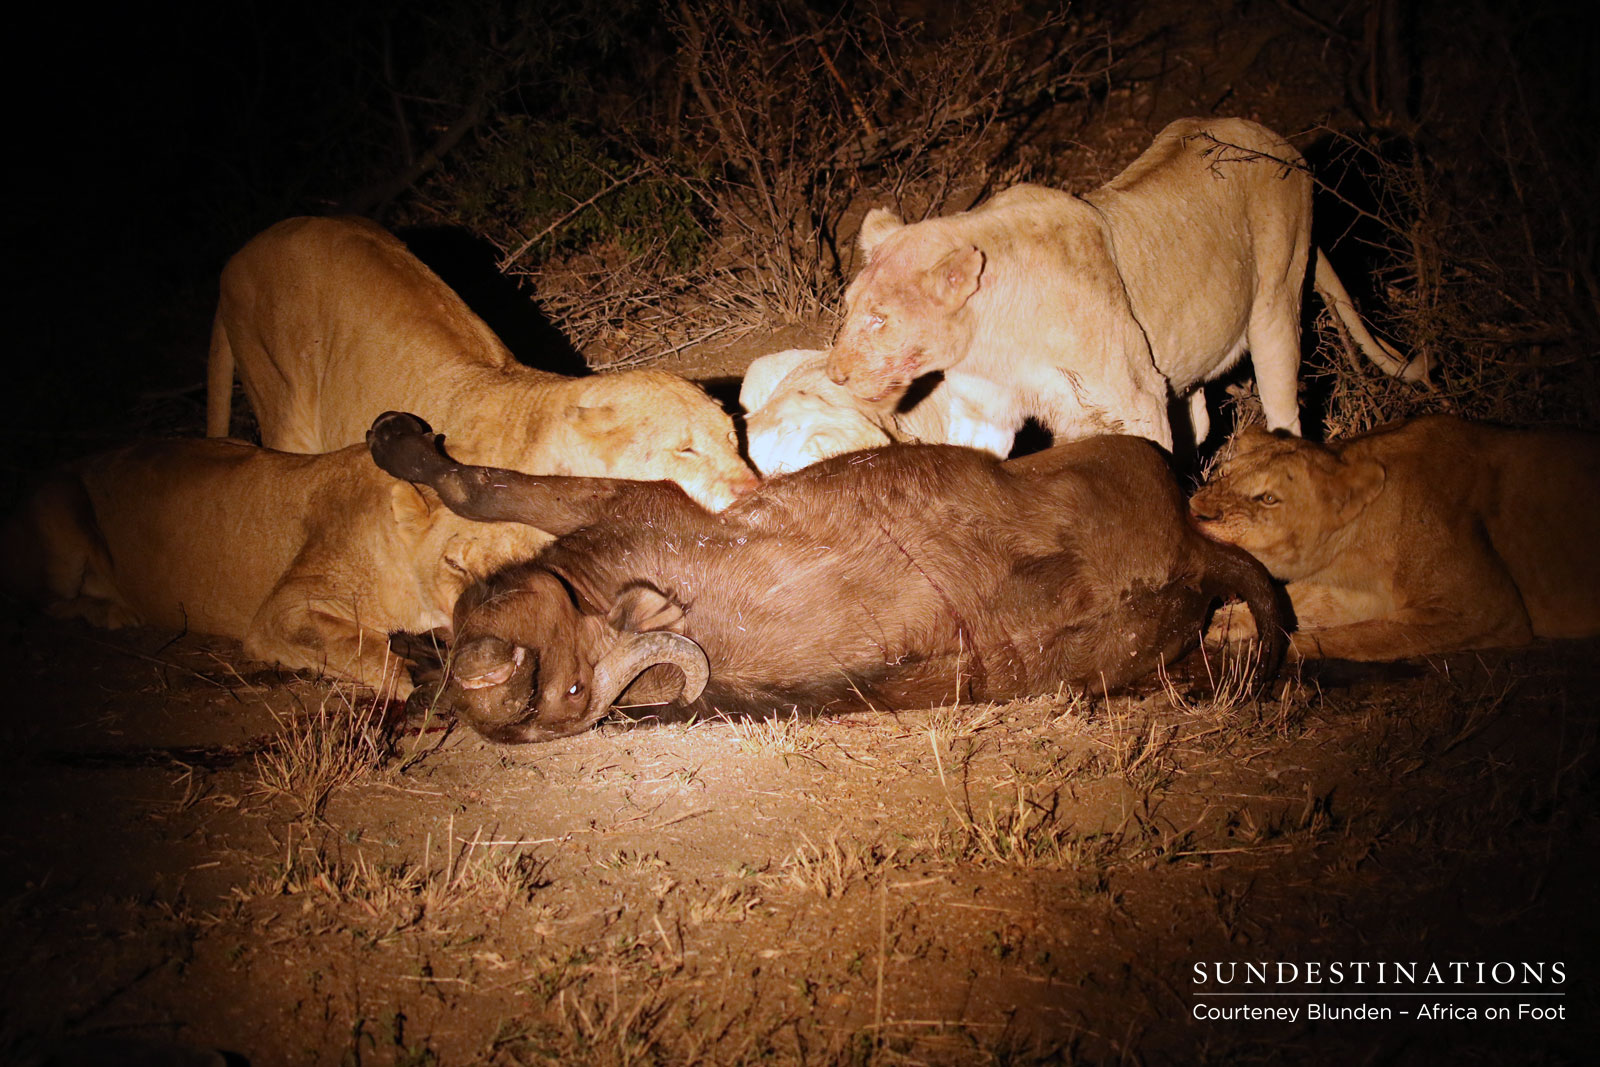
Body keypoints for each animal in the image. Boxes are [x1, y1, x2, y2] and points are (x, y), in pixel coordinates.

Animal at [0, 439, 552, 696]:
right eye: (454, 564)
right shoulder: (280, 611)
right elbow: (360, 647)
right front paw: (409, 674)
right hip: (59, 499)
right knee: (41, 600)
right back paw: (112, 613)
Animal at [826, 117, 1429, 454]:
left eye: (879, 319)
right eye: (849, 307)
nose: (835, 375)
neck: (990, 343)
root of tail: (1282, 144)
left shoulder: (1135, 404)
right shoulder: (985, 412)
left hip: (1276, 303)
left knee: (1285, 407)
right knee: (1201, 417)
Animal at [1189, 416, 1600, 661]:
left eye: (1269, 499)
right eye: (1222, 474)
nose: (1196, 511)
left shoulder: (1485, 609)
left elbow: (1363, 636)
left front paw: (1264, 648)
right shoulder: (1354, 593)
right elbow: (1302, 601)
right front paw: (1225, 624)